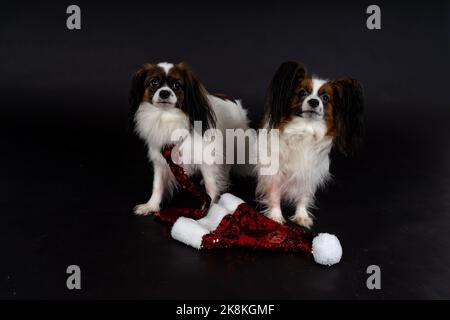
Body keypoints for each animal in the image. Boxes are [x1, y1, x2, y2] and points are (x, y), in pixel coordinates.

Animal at [255, 60, 364, 228]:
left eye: (325, 98)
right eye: (302, 93)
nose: (313, 101)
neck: (305, 129)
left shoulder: (310, 171)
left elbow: (304, 196)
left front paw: (301, 216)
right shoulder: (275, 171)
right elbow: (274, 195)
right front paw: (275, 216)